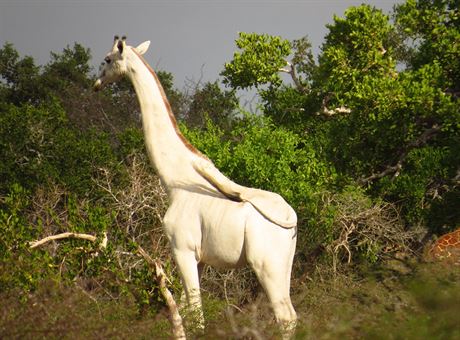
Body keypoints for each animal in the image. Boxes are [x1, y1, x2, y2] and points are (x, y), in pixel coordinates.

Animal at [93, 36, 298, 334]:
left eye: (107, 59)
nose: (96, 83)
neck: (175, 182)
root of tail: (291, 219)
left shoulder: (182, 248)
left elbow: (195, 315)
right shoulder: (198, 259)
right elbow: (181, 312)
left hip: (265, 263)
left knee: (284, 317)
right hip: (285, 263)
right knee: (291, 315)